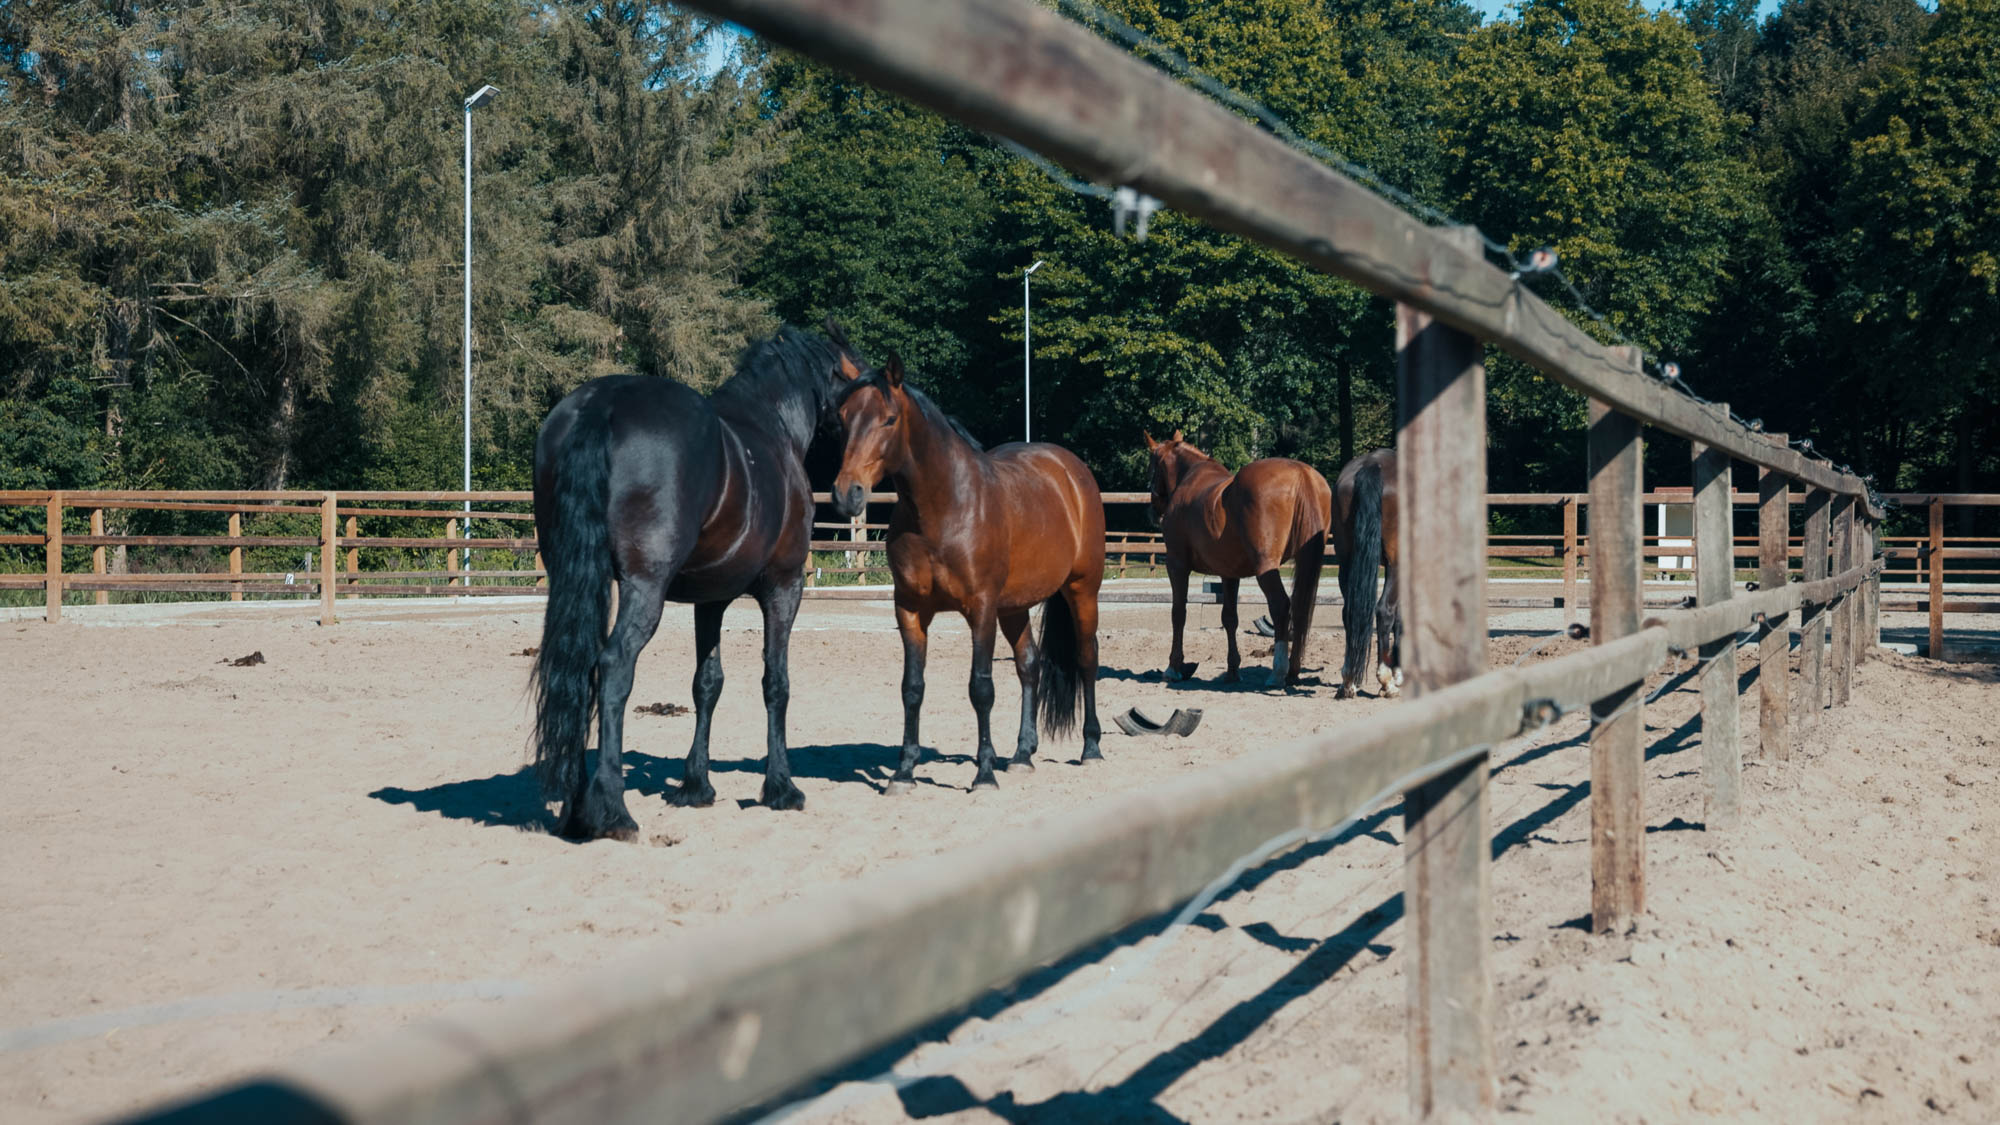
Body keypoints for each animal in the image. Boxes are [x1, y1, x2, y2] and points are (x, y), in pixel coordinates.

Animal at [529, 323, 863, 841]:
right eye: (860, 375)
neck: (772, 426)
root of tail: (604, 402)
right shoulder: (784, 586)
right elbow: (776, 681)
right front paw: (782, 787)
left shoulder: (712, 599)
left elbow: (707, 683)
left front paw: (695, 785)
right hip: (644, 588)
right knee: (614, 666)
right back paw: (612, 810)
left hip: (574, 575)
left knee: (581, 668)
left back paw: (576, 810)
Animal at [829, 355, 1106, 792]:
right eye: (842, 419)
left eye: (889, 420)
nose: (846, 494)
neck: (944, 509)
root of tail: (1071, 470)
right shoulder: (910, 610)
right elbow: (912, 689)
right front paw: (904, 772)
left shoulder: (981, 610)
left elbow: (981, 688)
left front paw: (984, 773)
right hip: (1014, 606)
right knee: (1029, 664)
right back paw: (1022, 754)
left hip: (1082, 590)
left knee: (1086, 658)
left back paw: (1091, 748)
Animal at [1145, 431, 1331, 687]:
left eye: (1152, 466)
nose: (1153, 511)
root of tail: (1300, 473)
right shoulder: (1229, 573)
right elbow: (1230, 618)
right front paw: (1233, 671)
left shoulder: (1177, 565)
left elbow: (1178, 613)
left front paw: (1174, 668)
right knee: (1301, 610)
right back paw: (1292, 672)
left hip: (1266, 567)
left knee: (1281, 605)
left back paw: (1278, 672)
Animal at [1331, 448, 1402, 699]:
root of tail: (1373, 464)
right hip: (1395, 563)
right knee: (1384, 611)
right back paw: (1386, 681)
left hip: (1347, 562)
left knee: (1349, 613)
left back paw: (1348, 681)